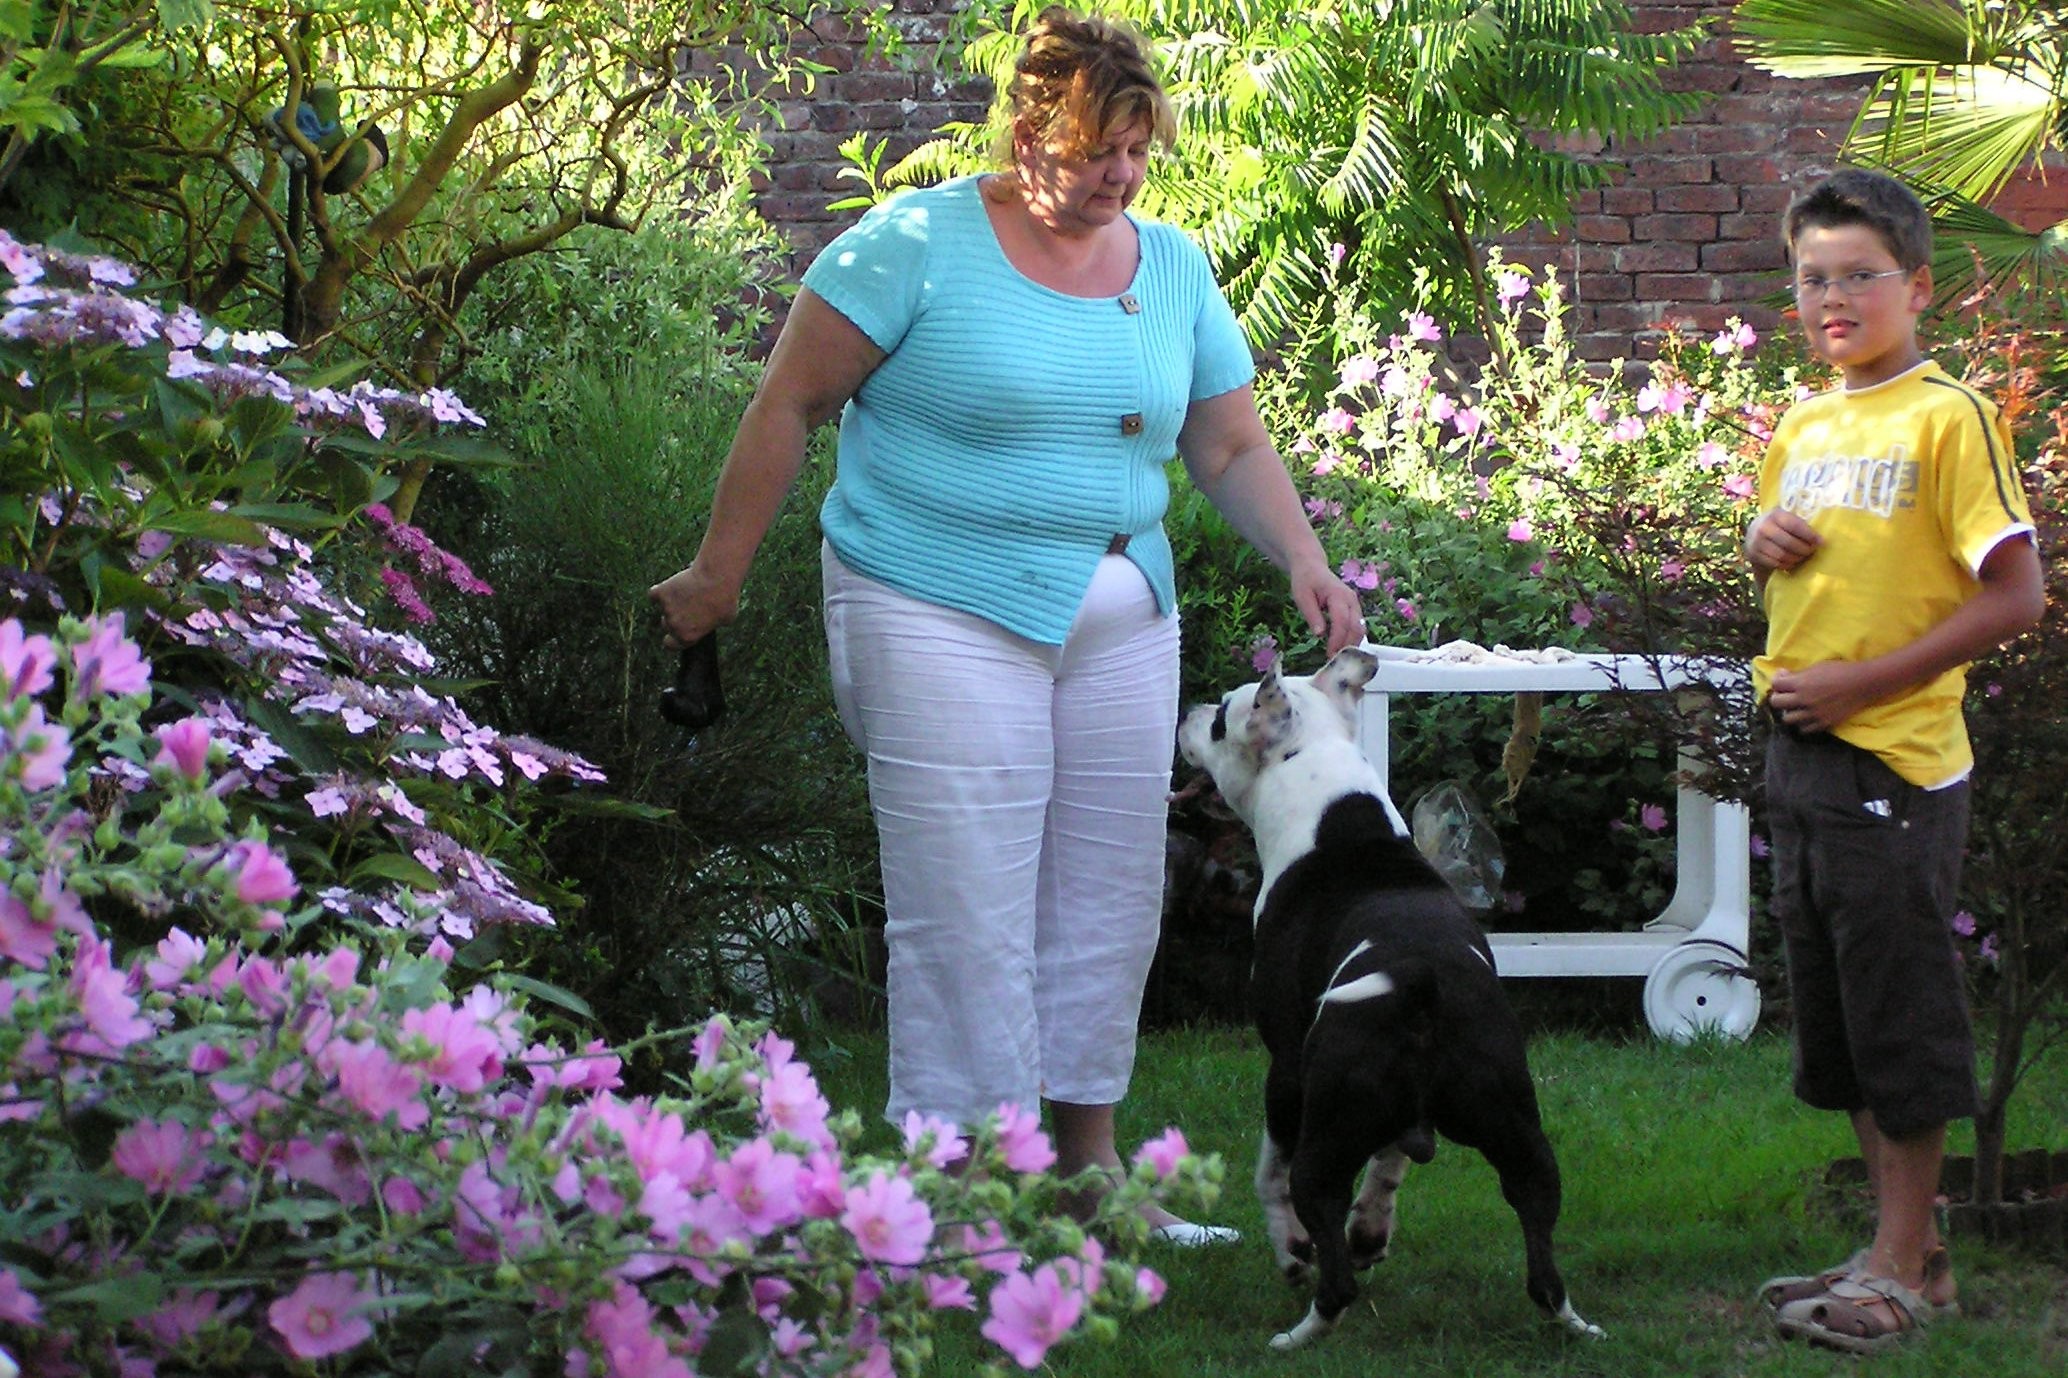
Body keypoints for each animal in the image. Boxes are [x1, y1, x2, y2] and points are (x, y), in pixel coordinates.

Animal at [1177, 646, 1601, 1350]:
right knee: (1542, 1251)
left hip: (1325, 1137)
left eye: (1220, 721)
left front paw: (1291, 1250)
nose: (1189, 708)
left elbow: (1268, 1174)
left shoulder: (1285, 1072)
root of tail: (1420, 986)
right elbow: (1391, 1161)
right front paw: (1371, 1230)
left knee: (1327, 1248)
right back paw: (1576, 1323)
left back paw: (1302, 1330)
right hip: (1519, 1130)